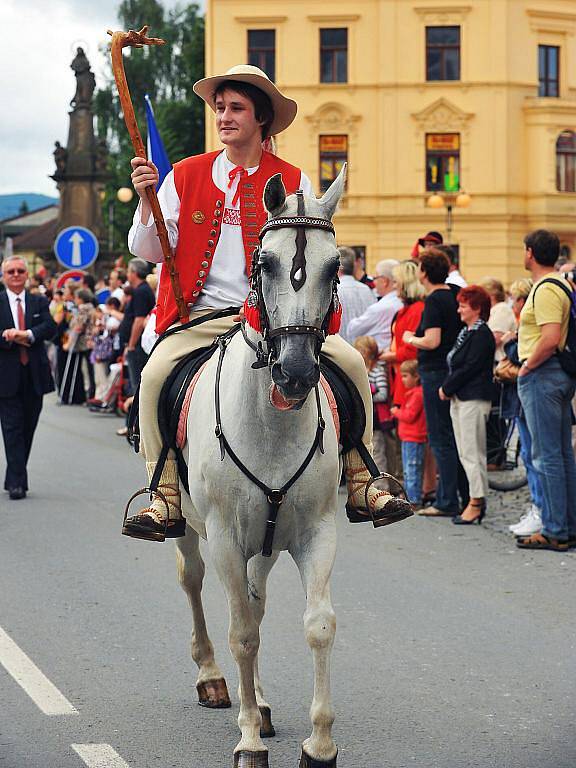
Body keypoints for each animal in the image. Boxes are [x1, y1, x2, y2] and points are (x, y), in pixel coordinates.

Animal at [176, 170, 346, 768]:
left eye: (335, 266)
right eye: (265, 262)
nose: (294, 373)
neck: (272, 421)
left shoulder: (316, 532)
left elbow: (318, 626)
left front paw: (319, 744)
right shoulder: (226, 539)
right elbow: (242, 636)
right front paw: (248, 739)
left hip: (267, 543)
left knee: (256, 602)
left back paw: (264, 703)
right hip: (190, 530)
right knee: (197, 583)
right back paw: (211, 679)